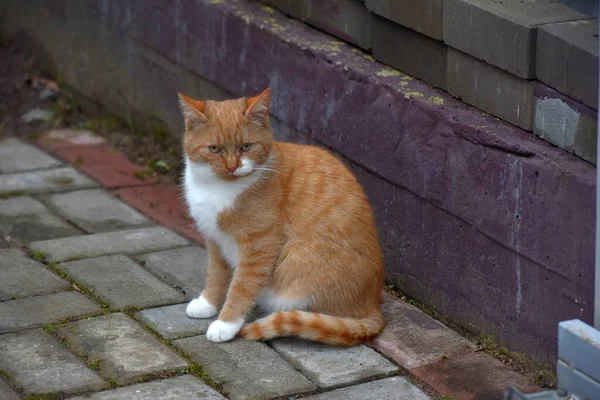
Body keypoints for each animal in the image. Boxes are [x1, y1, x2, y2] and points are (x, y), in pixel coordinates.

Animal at [178, 89, 384, 346]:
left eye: (246, 146)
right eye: (214, 149)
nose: (232, 166)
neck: (219, 188)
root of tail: (373, 306)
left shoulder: (260, 247)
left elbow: (242, 286)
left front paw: (227, 324)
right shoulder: (216, 241)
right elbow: (215, 275)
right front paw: (207, 304)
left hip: (300, 261)